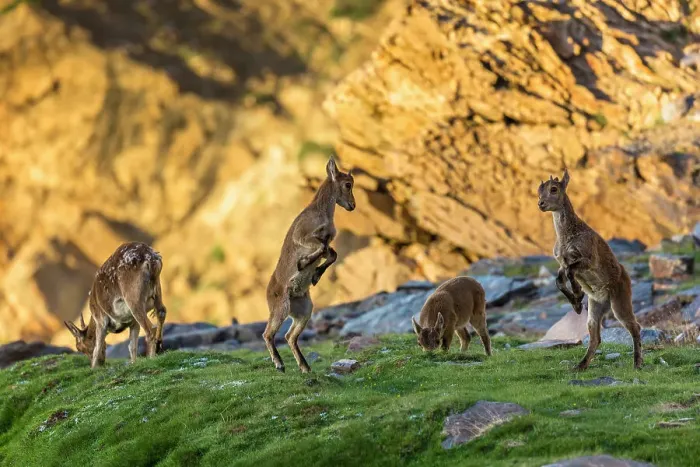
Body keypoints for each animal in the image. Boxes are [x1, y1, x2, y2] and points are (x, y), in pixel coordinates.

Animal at [263, 156, 355, 372]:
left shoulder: (328, 241)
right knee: (268, 334)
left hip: (304, 309)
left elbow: (332, 254)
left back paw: (304, 367)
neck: (321, 212)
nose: (352, 205)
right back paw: (279, 364)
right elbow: (321, 249)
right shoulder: (304, 237)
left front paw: (315, 275)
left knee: (290, 336)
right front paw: (303, 263)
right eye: (348, 184)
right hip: (281, 307)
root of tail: (268, 293)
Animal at [538, 168, 642, 370]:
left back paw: (637, 363)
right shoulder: (561, 262)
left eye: (554, 189)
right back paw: (580, 366)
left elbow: (571, 271)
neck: (567, 235)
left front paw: (578, 295)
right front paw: (577, 304)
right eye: (539, 190)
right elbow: (559, 280)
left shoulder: (587, 259)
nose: (541, 204)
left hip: (620, 301)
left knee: (634, 326)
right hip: (595, 307)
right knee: (596, 336)